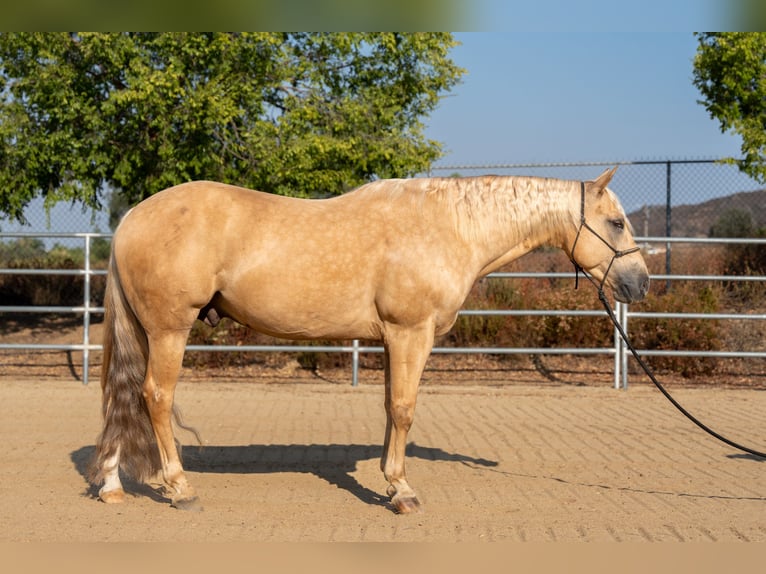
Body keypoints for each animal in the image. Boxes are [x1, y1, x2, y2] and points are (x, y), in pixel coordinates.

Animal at [93, 169, 652, 516]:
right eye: (615, 222)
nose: (640, 283)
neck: (450, 228)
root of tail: (131, 219)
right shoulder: (411, 334)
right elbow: (404, 409)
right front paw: (402, 491)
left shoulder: (391, 340)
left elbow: (389, 409)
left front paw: (391, 480)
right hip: (169, 331)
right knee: (155, 397)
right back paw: (181, 489)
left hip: (144, 332)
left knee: (122, 399)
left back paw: (112, 485)